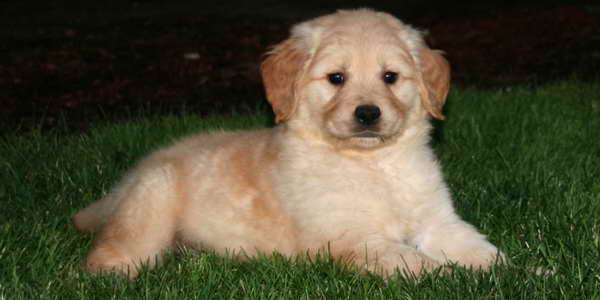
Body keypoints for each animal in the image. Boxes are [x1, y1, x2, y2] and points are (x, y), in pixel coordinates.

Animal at [74, 8, 506, 278]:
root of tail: (123, 185)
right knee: (114, 248)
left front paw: (509, 268)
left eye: (390, 77)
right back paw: (114, 273)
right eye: (336, 78)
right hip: (150, 202)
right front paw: (448, 276)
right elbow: (413, 262)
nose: (368, 114)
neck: (372, 164)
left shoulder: (438, 220)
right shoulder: (351, 237)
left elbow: (477, 248)